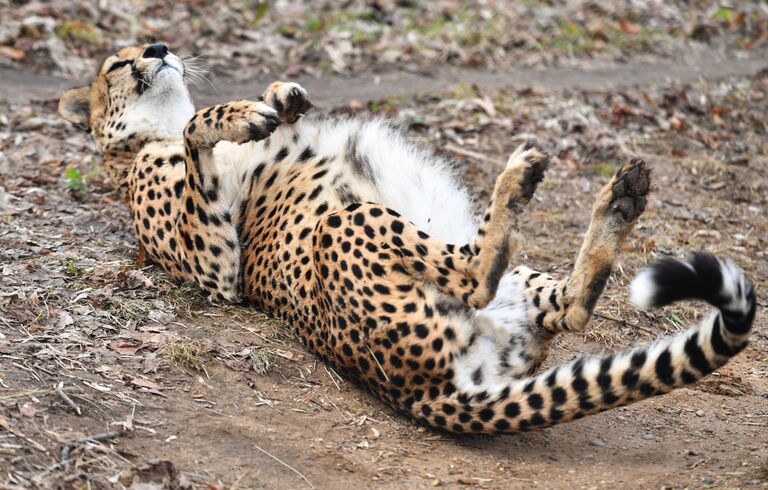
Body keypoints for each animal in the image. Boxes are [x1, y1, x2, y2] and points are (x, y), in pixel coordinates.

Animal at [60, 42, 756, 432]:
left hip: (517, 291)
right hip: (349, 221)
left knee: (569, 308)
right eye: (119, 63)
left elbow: (227, 117)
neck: (142, 135)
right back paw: (518, 183)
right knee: (477, 272)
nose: (158, 47)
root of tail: (418, 391)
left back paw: (619, 198)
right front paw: (242, 114)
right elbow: (197, 131)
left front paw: (280, 97)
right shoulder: (217, 270)